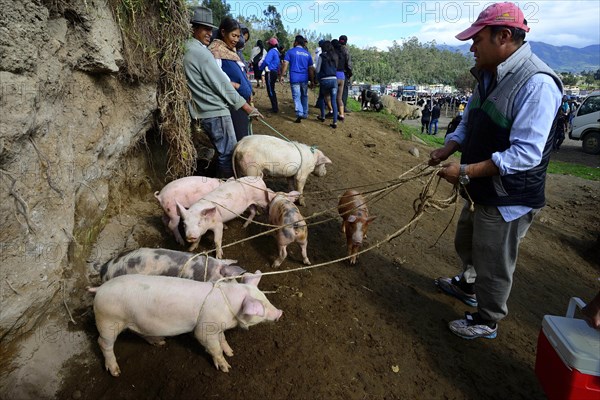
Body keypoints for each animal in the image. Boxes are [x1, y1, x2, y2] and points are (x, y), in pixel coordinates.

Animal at [88, 272, 282, 376]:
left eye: (265, 299)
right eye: (261, 308)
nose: (280, 313)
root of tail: (100, 289)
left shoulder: (216, 326)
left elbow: (222, 339)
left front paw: (231, 352)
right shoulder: (205, 328)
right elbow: (213, 347)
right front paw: (226, 368)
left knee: (139, 332)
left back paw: (160, 342)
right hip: (108, 320)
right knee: (102, 343)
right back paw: (115, 372)